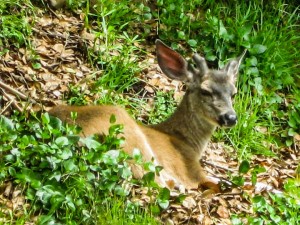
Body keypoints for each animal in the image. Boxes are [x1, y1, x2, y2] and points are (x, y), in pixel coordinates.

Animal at [49, 39, 246, 191]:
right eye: (205, 91)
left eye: (233, 93)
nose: (230, 117)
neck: (186, 142)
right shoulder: (192, 172)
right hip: (131, 136)